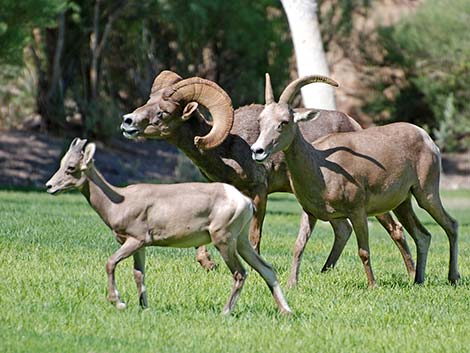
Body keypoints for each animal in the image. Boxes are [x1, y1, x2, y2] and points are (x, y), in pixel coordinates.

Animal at [46, 138, 292, 314]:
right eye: (62, 164)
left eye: (71, 167)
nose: (49, 186)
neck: (120, 201)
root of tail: (245, 202)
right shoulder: (141, 246)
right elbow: (139, 274)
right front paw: (144, 308)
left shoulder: (134, 240)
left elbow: (110, 263)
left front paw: (119, 303)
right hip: (240, 241)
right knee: (266, 268)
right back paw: (286, 311)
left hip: (223, 240)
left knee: (240, 273)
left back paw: (225, 312)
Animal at [120, 69, 414, 286]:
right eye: (147, 102)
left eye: (163, 112)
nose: (127, 122)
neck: (228, 148)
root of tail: (354, 124)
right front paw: (208, 263)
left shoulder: (259, 192)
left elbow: (254, 236)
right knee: (343, 230)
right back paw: (324, 272)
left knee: (394, 230)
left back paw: (412, 274)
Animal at [250, 74, 458, 286]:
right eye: (260, 120)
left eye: (284, 122)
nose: (257, 151)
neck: (319, 168)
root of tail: (427, 139)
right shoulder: (309, 213)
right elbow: (299, 245)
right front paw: (292, 284)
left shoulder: (357, 211)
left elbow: (363, 251)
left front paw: (372, 285)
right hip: (403, 204)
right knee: (423, 235)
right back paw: (418, 280)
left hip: (426, 194)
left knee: (451, 225)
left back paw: (453, 277)